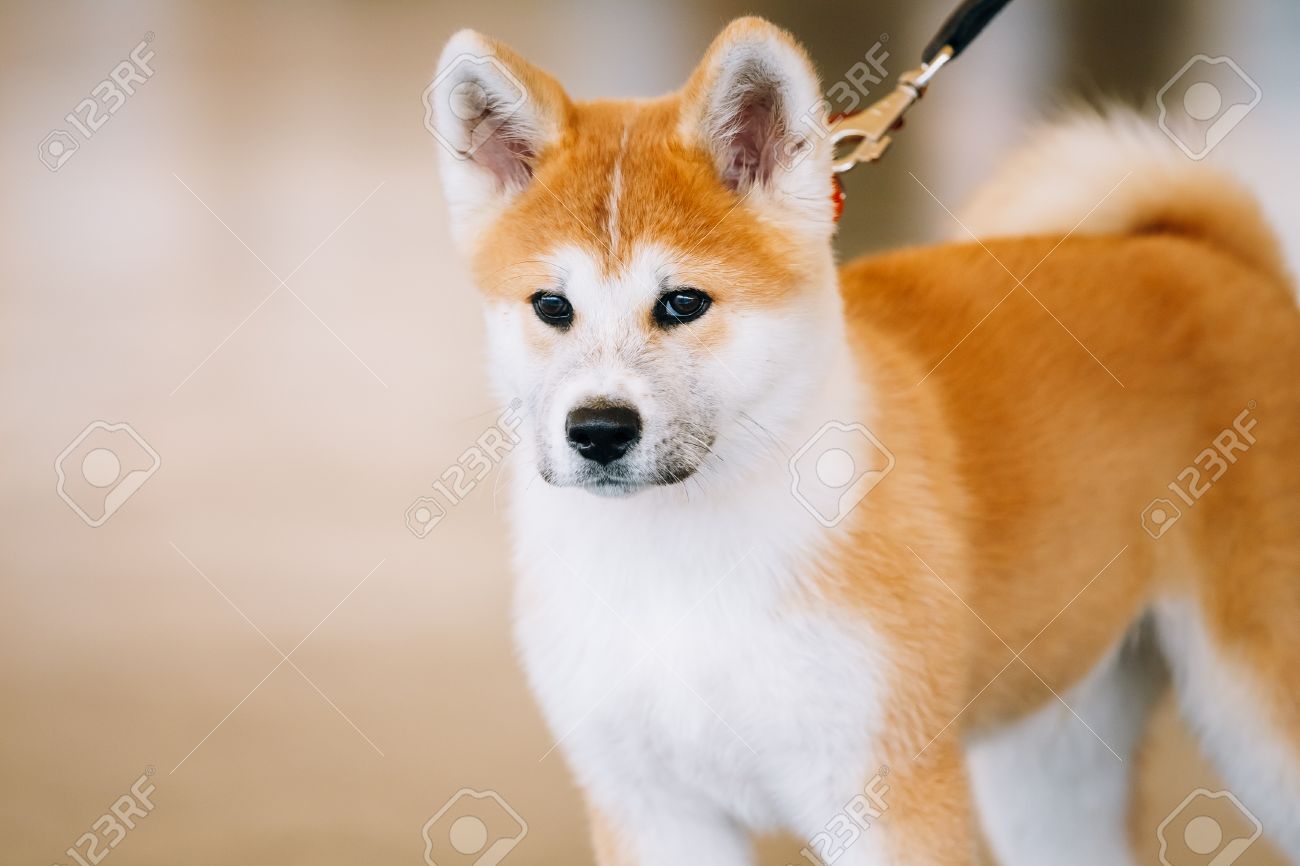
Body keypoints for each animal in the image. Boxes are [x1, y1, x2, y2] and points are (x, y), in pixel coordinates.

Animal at [431, 13, 1300, 863]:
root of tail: (1218, 258)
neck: (681, 554)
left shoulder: (888, 797)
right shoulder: (654, 811)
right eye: (551, 307)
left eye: (683, 303)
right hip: (1048, 757)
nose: (599, 428)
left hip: (1256, 716)